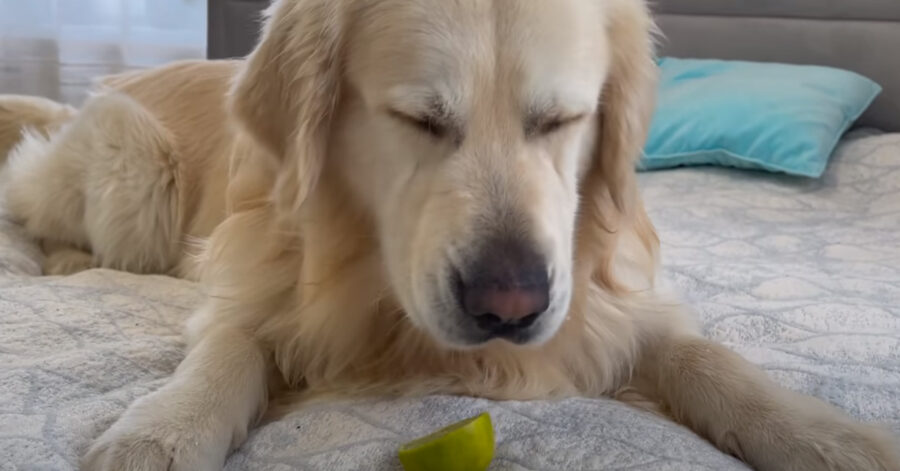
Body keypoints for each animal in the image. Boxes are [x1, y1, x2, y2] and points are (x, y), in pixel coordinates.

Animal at [0, 0, 896, 471]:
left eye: (562, 118)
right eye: (419, 119)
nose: (510, 304)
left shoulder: (608, 298)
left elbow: (708, 358)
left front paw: (827, 432)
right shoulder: (247, 283)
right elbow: (225, 351)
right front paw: (161, 428)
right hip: (135, 178)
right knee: (34, 192)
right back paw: (55, 256)